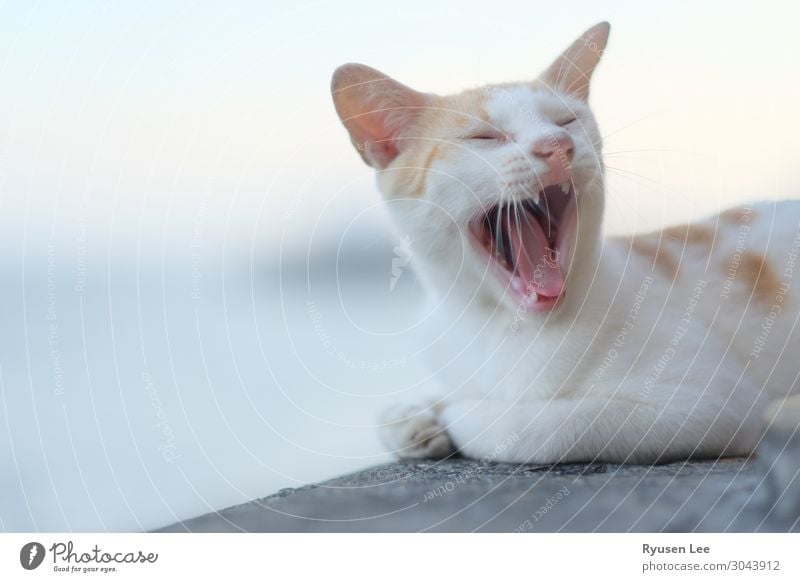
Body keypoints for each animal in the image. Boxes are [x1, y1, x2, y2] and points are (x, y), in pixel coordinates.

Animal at [330, 22, 800, 466]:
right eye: (485, 137)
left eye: (565, 121)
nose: (556, 144)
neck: (495, 324)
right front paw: (413, 415)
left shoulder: (711, 402)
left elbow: (533, 428)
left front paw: (458, 412)